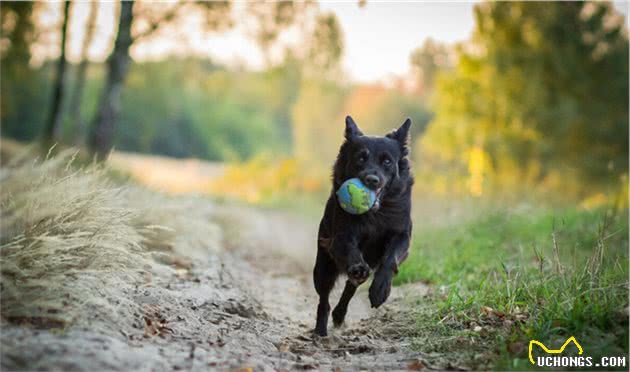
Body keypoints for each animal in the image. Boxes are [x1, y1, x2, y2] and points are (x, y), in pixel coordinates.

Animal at [312, 115, 414, 336]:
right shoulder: (342, 236)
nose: (372, 180)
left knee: (350, 288)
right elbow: (351, 251)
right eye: (360, 158)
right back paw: (320, 329)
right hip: (322, 268)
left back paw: (340, 314)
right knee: (324, 300)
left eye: (387, 161)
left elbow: (390, 259)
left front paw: (380, 290)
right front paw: (358, 267)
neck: (375, 214)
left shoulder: (402, 235)